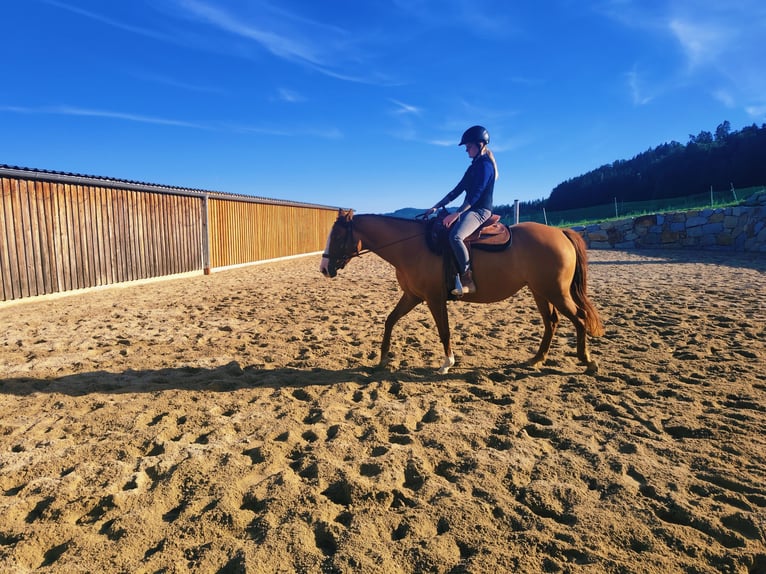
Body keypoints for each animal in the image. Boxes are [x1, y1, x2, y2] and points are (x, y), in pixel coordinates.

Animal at [320, 209, 604, 375]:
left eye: (338, 237)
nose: (324, 268)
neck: (412, 246)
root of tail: (560, 233)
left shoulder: (433, 299)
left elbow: (443, 330)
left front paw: (448, 362)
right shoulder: (413, 297)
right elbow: (390, 320)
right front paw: (382, 358)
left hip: (556, 292)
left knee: (578, 318)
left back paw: (587, 361)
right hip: (540, 291)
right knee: (551, 322)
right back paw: (537, 359)